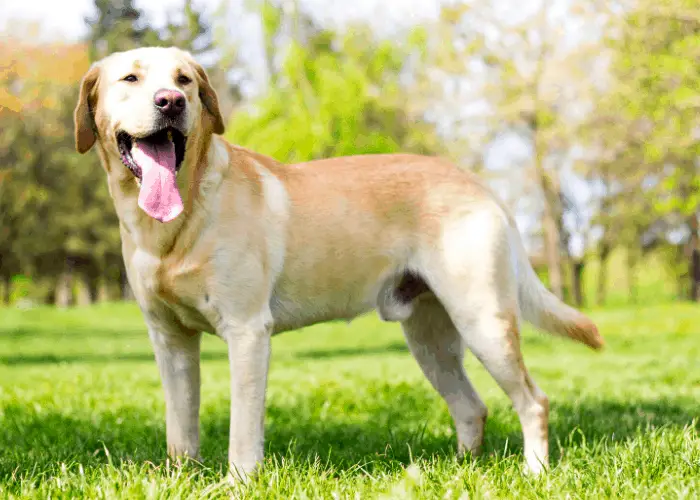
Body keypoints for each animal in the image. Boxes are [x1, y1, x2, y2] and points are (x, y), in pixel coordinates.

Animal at [74, 47, 604, 480]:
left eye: (184, 80)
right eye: (131, 78)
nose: (171, 102)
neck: (175, 225)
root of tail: (476, 182)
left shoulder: (247, 332)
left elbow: (243, 428)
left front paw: (238, 483)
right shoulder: (170, 341)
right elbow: (180, 426)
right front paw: (182, 477)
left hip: (484, 321)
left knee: (534, 402)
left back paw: (534, 472)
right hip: (430, 339)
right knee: (472, 408)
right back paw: (459, 472)